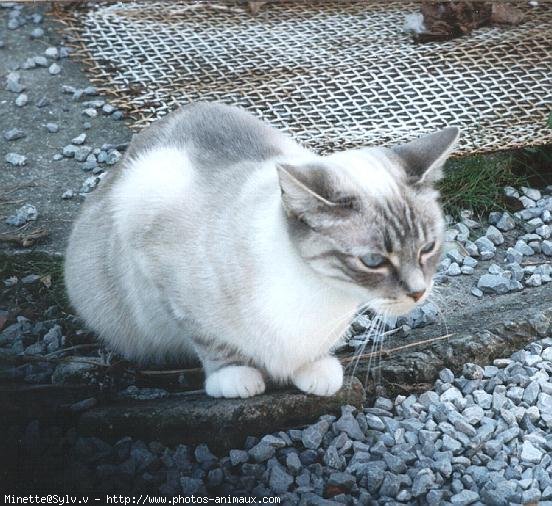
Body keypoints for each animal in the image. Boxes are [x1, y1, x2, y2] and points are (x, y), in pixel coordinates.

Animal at [63, 103, 458, 400]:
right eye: (373, 261)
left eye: (428, 248)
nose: (418, 292)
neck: (321, 291)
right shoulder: (163, 273)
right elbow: (210, 341)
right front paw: (235, 377)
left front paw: (313, 369)